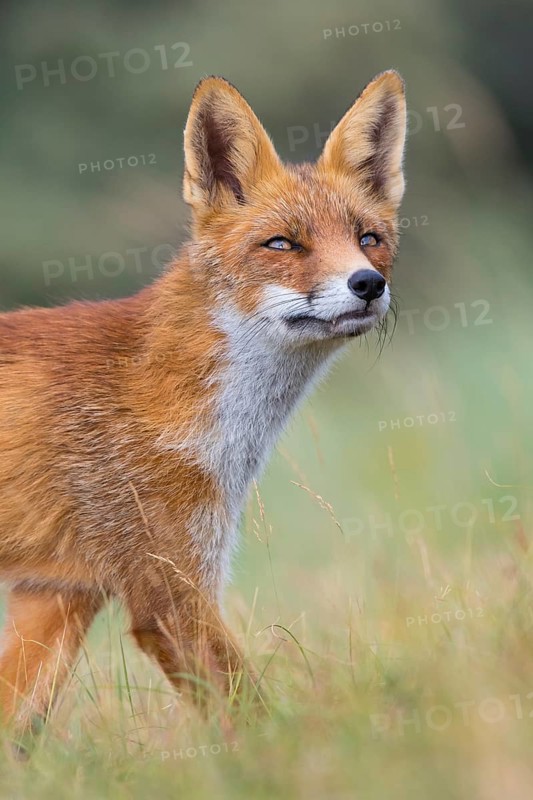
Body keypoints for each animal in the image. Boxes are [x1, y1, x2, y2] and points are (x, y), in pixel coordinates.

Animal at [0, 70, 407, 735]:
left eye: (367, 239)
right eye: (282, 244)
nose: (367, 284)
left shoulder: (57, 594)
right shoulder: (169, 588)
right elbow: (254, 718)